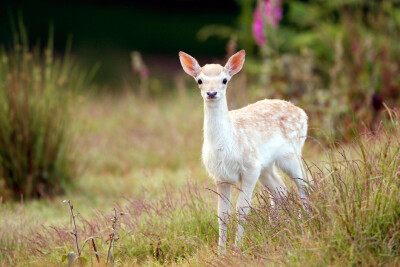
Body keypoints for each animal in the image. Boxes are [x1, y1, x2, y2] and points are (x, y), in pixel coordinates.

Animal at [178, 50, 310, 251]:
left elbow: (242, 209)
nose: (211, 92)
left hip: (292, 153)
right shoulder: (221, 176)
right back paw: (275, 228)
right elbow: (222, 214)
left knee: (305, 184)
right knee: (280, 189)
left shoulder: (249, 168)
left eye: (224, 80)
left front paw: (237, 248)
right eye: (199, 80)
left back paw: (304, 223)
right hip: (266, 166)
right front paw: (221, 251)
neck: (226, 144)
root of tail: (303, 113)